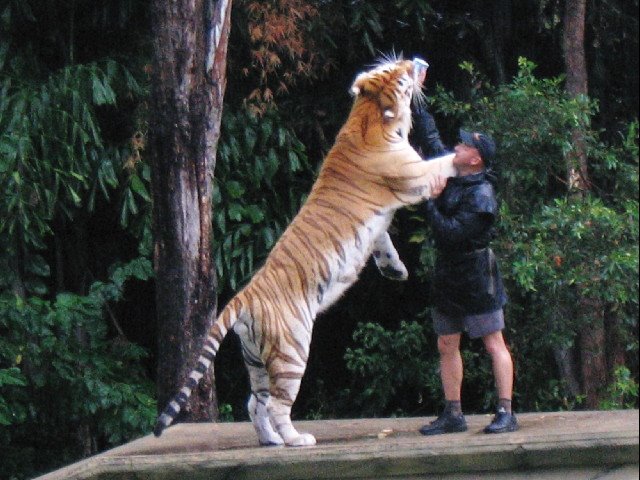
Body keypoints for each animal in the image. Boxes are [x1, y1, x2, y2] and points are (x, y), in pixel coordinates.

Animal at [154, 56, 456, 446]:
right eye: (402, 73)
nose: (419, 61)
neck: (370, 115)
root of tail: (243, 296)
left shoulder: (379, 223)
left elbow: (383, 242)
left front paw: (395, 270)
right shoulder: (413, 176)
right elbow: (444, 162)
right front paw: (474, 155)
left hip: (256, 359)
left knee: (255, 403)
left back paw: (271, 441)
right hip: (291, 350)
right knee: (277, 405)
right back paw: (297, 440)